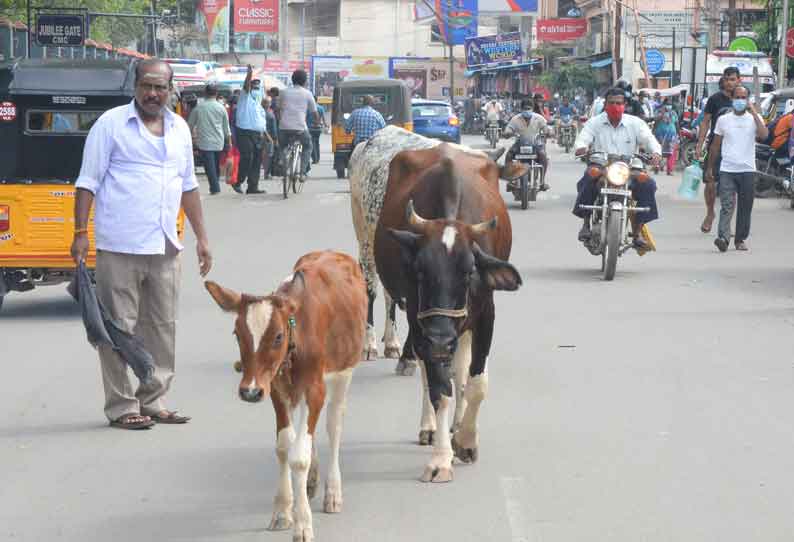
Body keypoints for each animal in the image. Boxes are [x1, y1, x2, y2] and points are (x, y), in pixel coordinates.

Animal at [204, 252, 366, 542]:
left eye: (278, 336)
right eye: (237, 334)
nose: (249, 391)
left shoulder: (315, 389)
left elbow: (298, 457)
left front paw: (303, 524)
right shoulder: (276, 389)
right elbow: (283, 447)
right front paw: (282, 511)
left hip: (344, 372)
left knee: (334, 425)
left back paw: (333, 492)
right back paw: (312, 481)